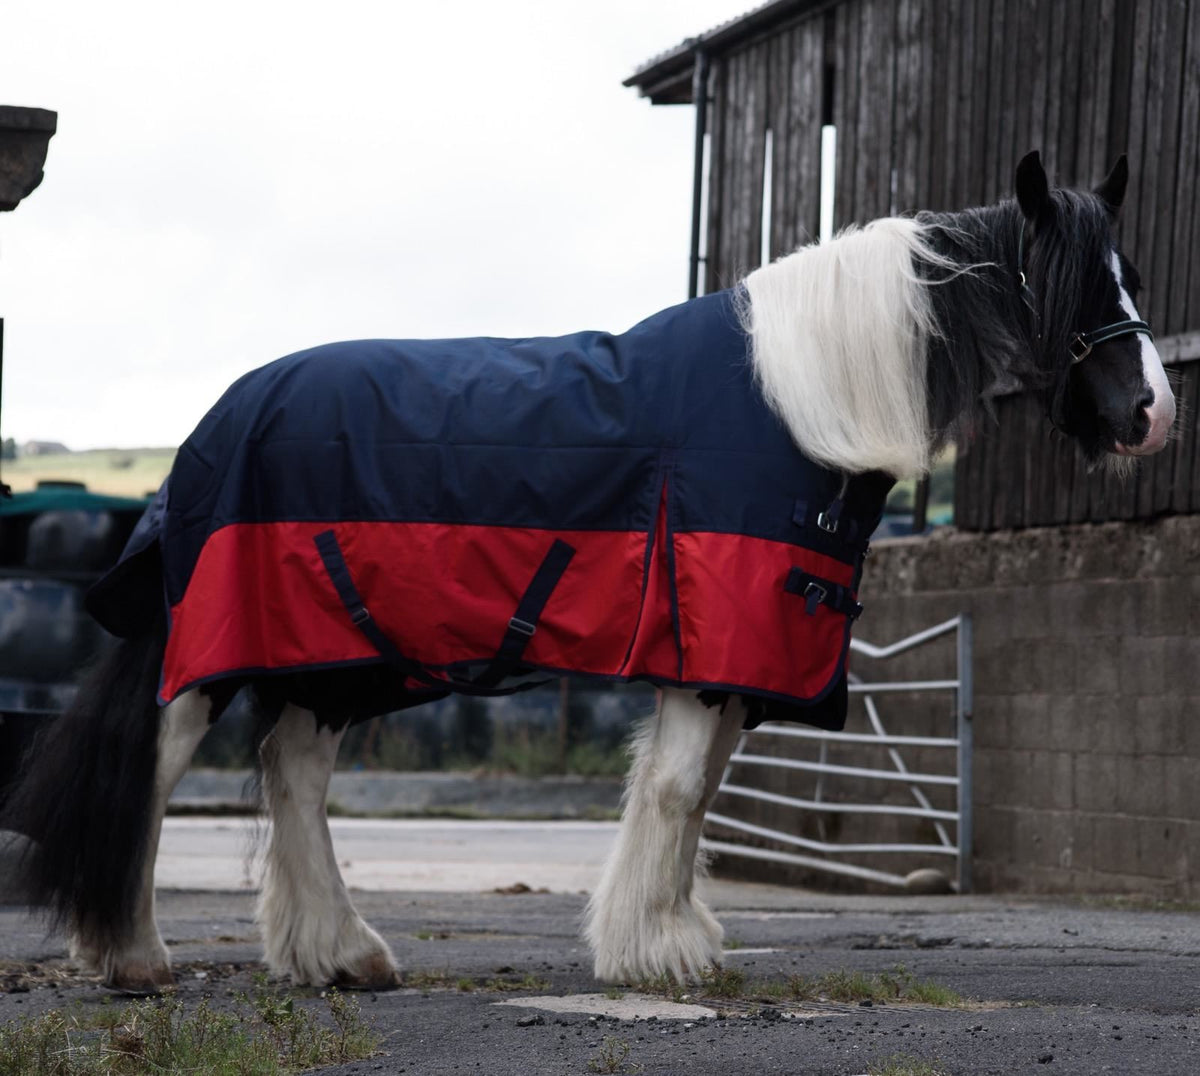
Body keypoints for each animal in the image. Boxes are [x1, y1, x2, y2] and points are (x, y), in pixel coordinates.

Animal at [2, 151, 1174, 993]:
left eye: (1128, 277)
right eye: (1074, 287)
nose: (1152, 412)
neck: (803, 398)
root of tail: (218, 420)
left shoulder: (739, 656)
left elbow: (696, 796)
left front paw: (669, 934)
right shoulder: (709, 643)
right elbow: (678, 790)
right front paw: (660, 953)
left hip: (334, 660)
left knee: (295, 776)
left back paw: (343, 953)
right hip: (217, 648)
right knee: (156, 768)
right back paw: (134, 956)